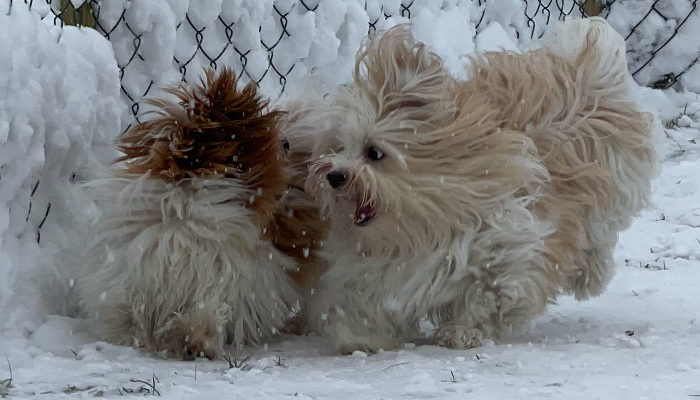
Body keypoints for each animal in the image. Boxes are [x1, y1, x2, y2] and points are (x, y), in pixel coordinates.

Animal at [304, 18, 652, 354]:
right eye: (338, 147)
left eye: (374, 152)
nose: (334, 176)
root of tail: (578, 66)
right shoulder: (373, 269)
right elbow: (367, 300)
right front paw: (361, 337)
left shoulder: (507, 249)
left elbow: (487, 295)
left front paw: (462, 331)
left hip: (613, 186)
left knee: (599, 236)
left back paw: (590, 278)